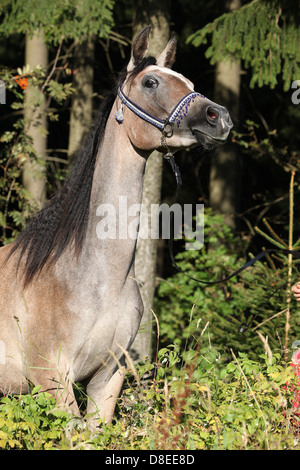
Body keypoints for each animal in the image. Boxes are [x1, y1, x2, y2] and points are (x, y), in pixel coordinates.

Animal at [0, 26, 233, 430]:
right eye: (151, 82)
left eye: (188, 81)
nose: (218, 117)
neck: (99, 276)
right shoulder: (52, 380)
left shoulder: (107, 378)